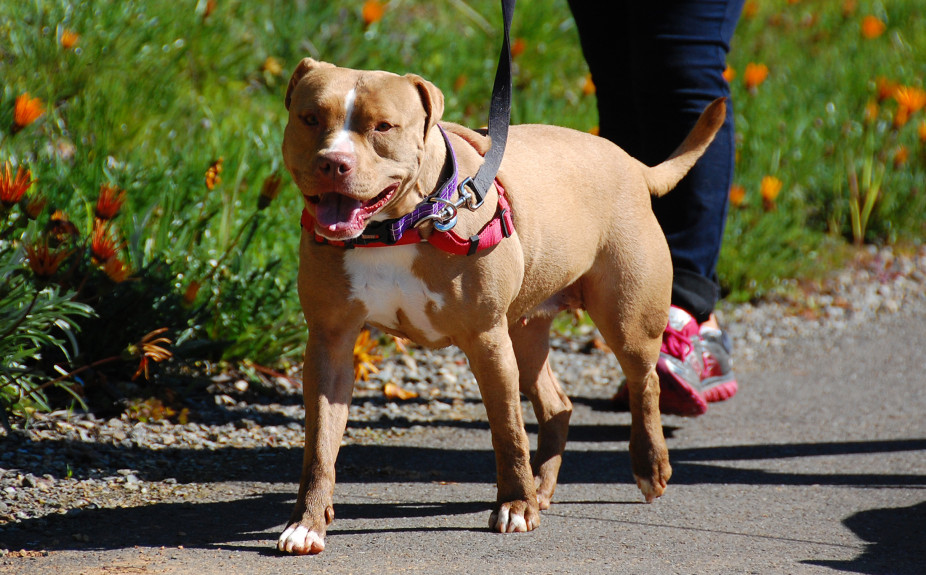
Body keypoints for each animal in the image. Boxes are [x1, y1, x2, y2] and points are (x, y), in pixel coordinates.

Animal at [280, 57, 728, 552]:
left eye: (382, 126)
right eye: (310, 119)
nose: (333, 162)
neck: (399, 228)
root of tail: (632, 164)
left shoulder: (487, 340)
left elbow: (508, 430)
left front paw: (515, 506)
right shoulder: (330, 343)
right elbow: (319, 445)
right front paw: (307, 522)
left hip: (626, 320)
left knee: (643, 383)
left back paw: (648, 468)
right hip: (526, 331)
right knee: (558, 406)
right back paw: (543, 487)